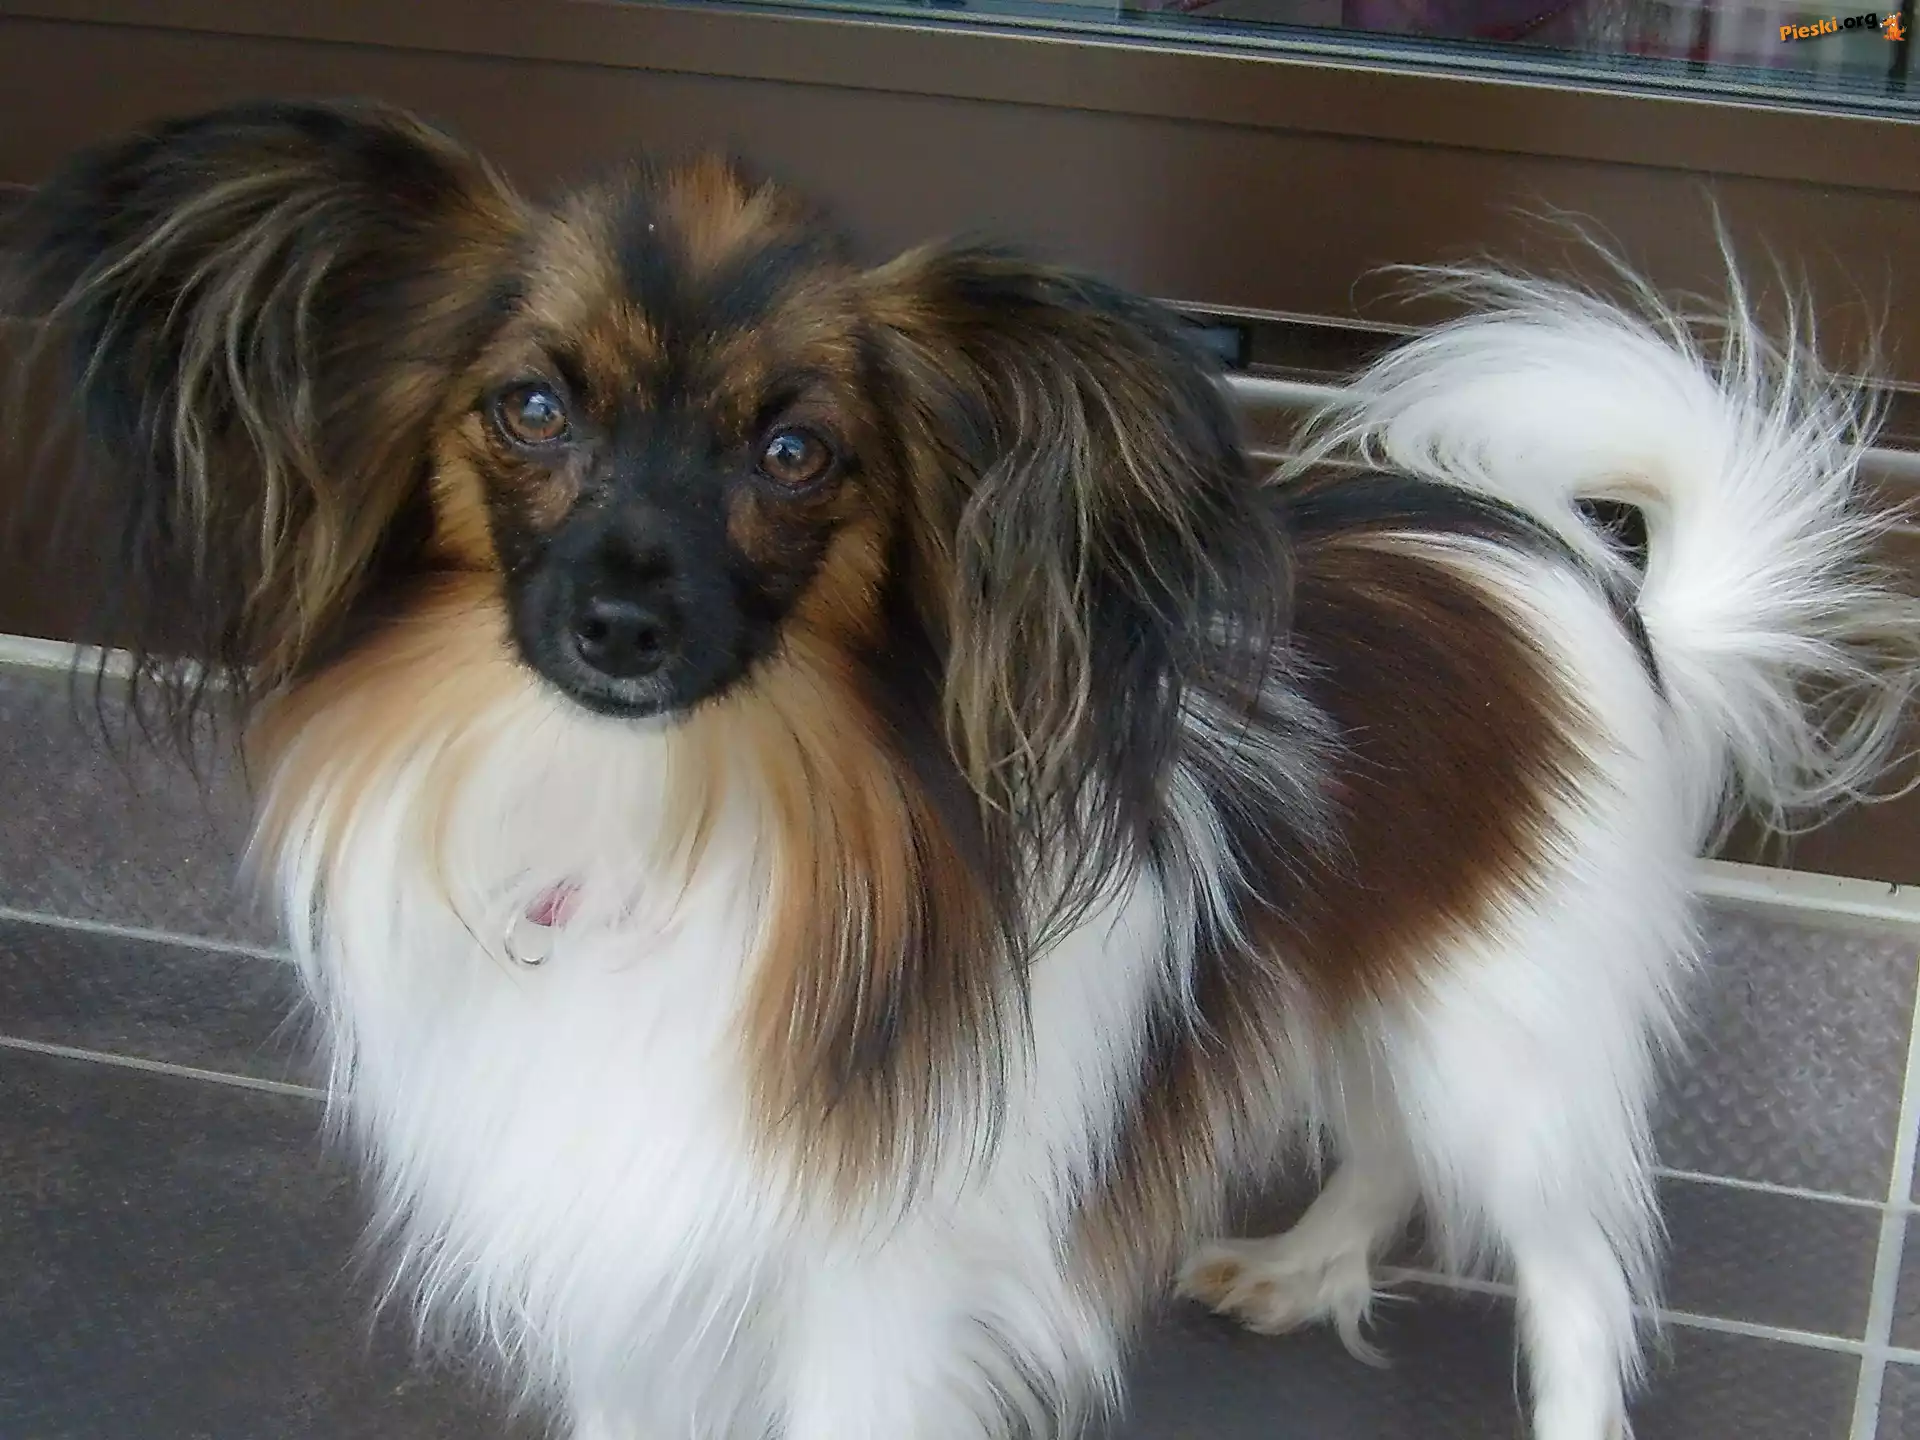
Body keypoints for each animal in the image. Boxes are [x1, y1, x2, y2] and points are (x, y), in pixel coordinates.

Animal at [6, 100, 1916, 1440]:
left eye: (796, 452)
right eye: (531, 411)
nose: (622, 617)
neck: (663, 815)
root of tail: (1595, 586)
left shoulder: (874, 1307)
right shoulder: (631, 1266)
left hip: (1514, 1039)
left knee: (1575, 1275)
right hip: (1396, 977)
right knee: (1383, 1135)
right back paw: (1302, 1267)